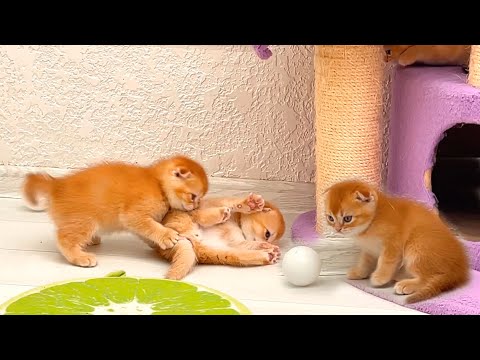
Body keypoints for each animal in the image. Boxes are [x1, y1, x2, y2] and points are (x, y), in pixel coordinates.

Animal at [21, 155, 208, 268]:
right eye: (193, 196)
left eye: (200, 198)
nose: (196, 206)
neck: (157, 184)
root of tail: (56, 185)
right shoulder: (133, 215)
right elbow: (151, 226)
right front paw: (167, 236)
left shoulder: (137, 224)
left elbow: (146, 232)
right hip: (84, 221)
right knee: (64, 239)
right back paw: (80, 257)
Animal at [148, 193, 286, 280]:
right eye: (267, 234)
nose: (269, 243)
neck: (237, 220)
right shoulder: (219, 202)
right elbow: (233, 203)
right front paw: (251, 204)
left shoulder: (237, 242)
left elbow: (251, 245)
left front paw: (267, 246)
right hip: (188, 214)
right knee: (200, 215)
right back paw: (221, 214)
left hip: (220, 253)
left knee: (239, 257)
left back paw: (268, 255)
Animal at [322, 180, 468, 304]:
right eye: (330, 218)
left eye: (347, 218)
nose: (337, 229)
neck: (374, 219)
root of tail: (459, 269)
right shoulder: (369, 249)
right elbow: (365, 261)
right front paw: (359, 273)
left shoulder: (393, 245)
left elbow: (386, 262)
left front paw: (380, 278)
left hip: (416, 246)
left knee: (428, 278)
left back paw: (406, 284)